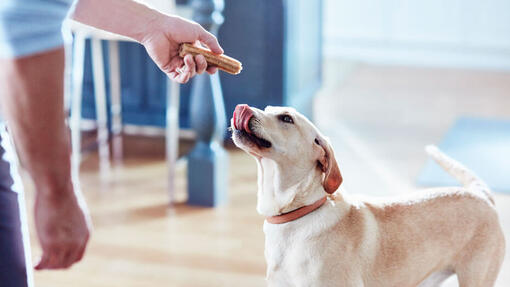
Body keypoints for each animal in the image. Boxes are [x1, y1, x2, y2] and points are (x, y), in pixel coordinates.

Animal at [231, 104, 506, 286]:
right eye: (267, 108)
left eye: (286, 118)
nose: (242, 107)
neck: (297, 217)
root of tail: (481, 195)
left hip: (476, 278)